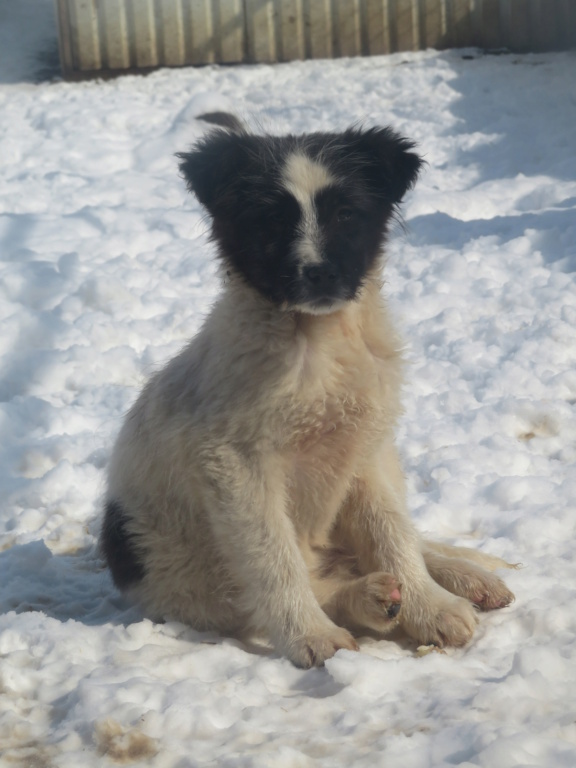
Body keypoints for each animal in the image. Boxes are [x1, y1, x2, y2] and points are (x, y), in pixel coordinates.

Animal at [101, 120, 516, 664]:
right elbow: (273, 557)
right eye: (271, 221)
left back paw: (463, 578)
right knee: (298, 584)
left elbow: (392, 532)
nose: (318, 272)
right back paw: (370, 599)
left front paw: (430, 606)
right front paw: (311, 637)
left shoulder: (364, 449)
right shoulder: (236, 463)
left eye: (345, 214)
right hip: (183, 572)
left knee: (406, 536)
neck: (316, 342)